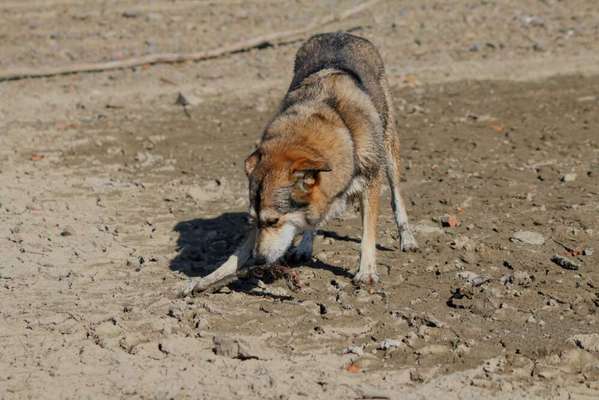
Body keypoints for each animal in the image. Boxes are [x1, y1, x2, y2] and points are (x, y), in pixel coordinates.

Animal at [244, 32, 418, 284]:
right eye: (252, 221)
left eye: (273, 221)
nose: (257, 260)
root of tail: (342, 34)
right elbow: (312, 217)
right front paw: (304, 246)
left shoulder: (371, 183)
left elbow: (368, 233)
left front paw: (366, 272)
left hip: (389, 152)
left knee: (397, 198)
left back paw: (408, 239)